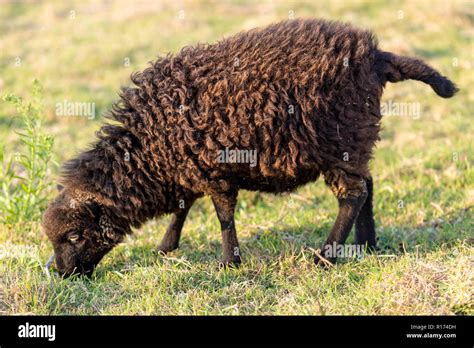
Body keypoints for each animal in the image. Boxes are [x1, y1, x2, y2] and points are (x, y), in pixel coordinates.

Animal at [42, 18, 458, 278]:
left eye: (75, 236)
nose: (62, 275)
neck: (148, 149)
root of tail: (376, 56)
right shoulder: (191, 166)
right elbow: (183, 208)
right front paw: (166, 247)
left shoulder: (215, 171)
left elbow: (223, 217)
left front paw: (229, 264)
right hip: (354, 141)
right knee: (368, 186)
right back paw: (365, 246)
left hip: (340, 140)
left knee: (352, 195)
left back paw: (325, 258)